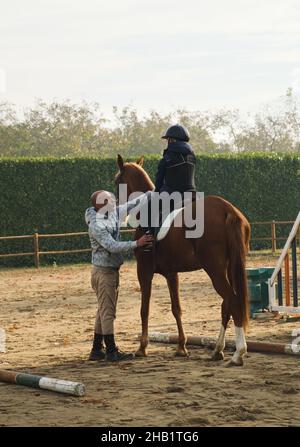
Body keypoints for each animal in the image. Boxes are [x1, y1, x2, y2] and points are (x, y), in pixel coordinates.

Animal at [115, 155, 251, 368]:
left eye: (117, 182)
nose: (117, 209)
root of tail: (227, 210)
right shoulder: (172, 273)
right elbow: (176, 308)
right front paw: (181, 347)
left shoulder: (144, 271)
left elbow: (144, 309)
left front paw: (142, 348)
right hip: (231, 267)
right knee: (227, 305)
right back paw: (218, 350)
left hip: (215, 270)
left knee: (233, 301)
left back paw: (238, 353)